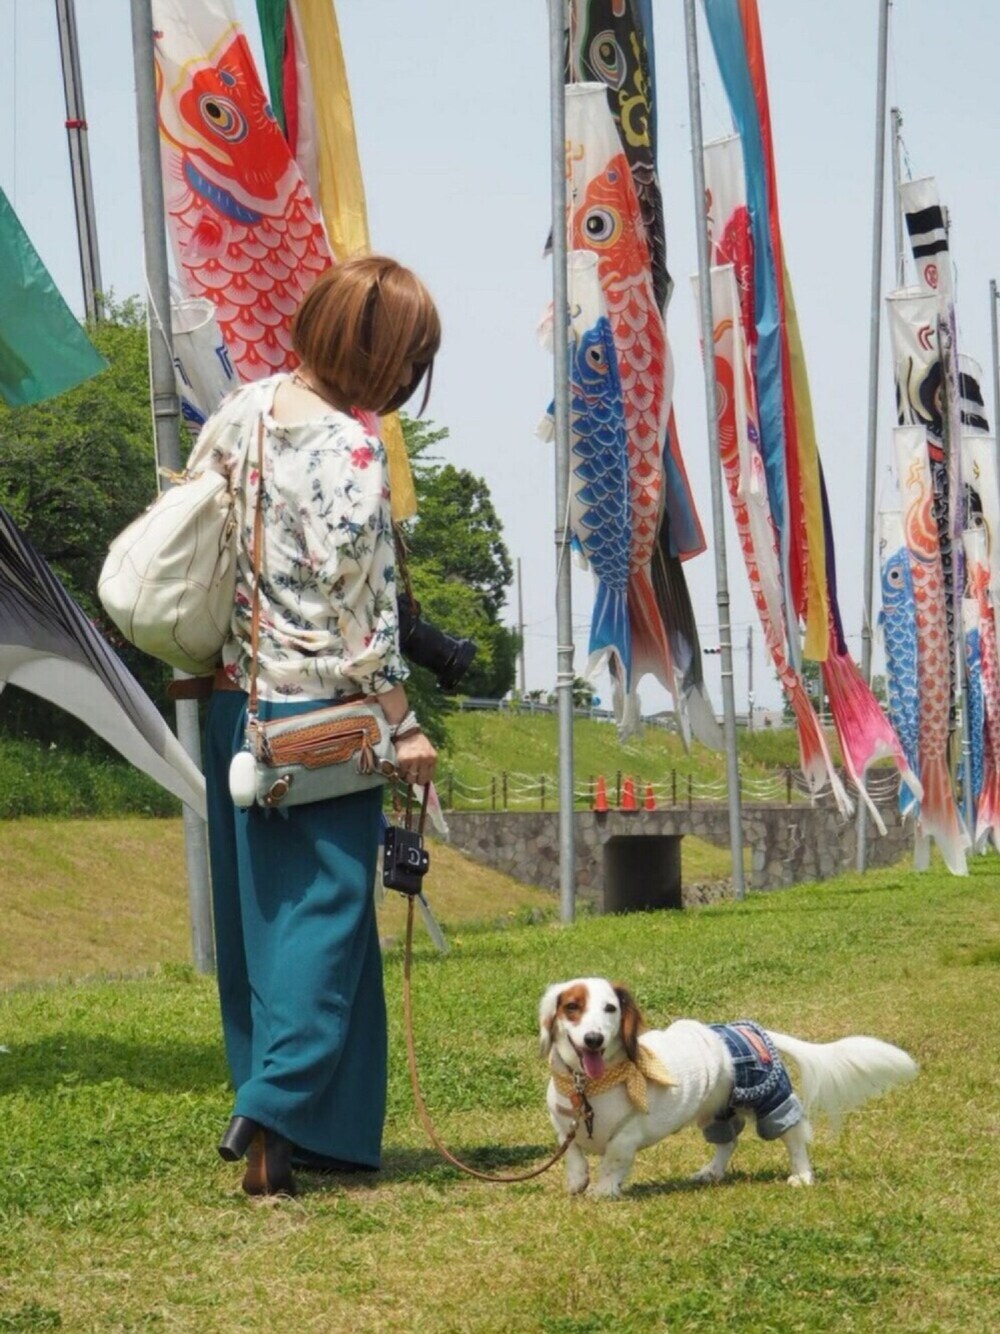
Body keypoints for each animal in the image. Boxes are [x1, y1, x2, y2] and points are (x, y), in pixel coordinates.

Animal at [539, 978, 917, 1199]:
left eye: (610, 1009)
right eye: (572, 1007)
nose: (594, 1039)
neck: (590, 1086)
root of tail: (743, 1028)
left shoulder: (631, 1131)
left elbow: (614, 1157)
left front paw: (603, 1190)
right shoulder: (562, 1125)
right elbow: (571, 1152)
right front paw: (577, 1181)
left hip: (771, 1099)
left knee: (795, 1137)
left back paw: (802, 1175)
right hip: (715, 1109)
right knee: (728, 1141)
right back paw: (711, 1172)